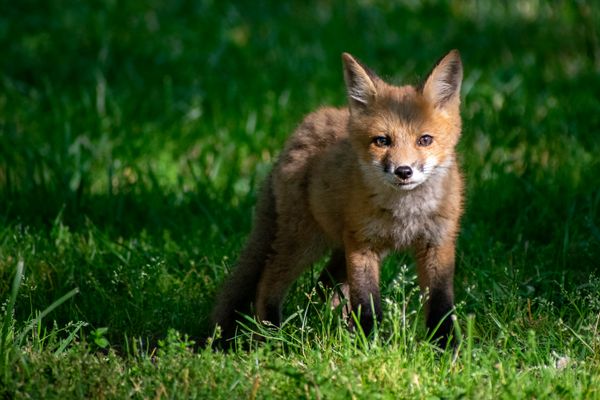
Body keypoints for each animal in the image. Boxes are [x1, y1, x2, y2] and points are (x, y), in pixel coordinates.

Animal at [211, 50, 464, 348]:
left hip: (338, 247)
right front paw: (369, 346)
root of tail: (305, 126)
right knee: (268, 281)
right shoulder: (362, 245)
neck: (407, 212)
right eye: (382, 141)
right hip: (306, 241)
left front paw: (448, 348)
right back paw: (273, 335)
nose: (403, 171)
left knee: (324, 283)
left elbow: (441, 307)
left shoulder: (437, 243)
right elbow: (367, 306)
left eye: (425, 140)